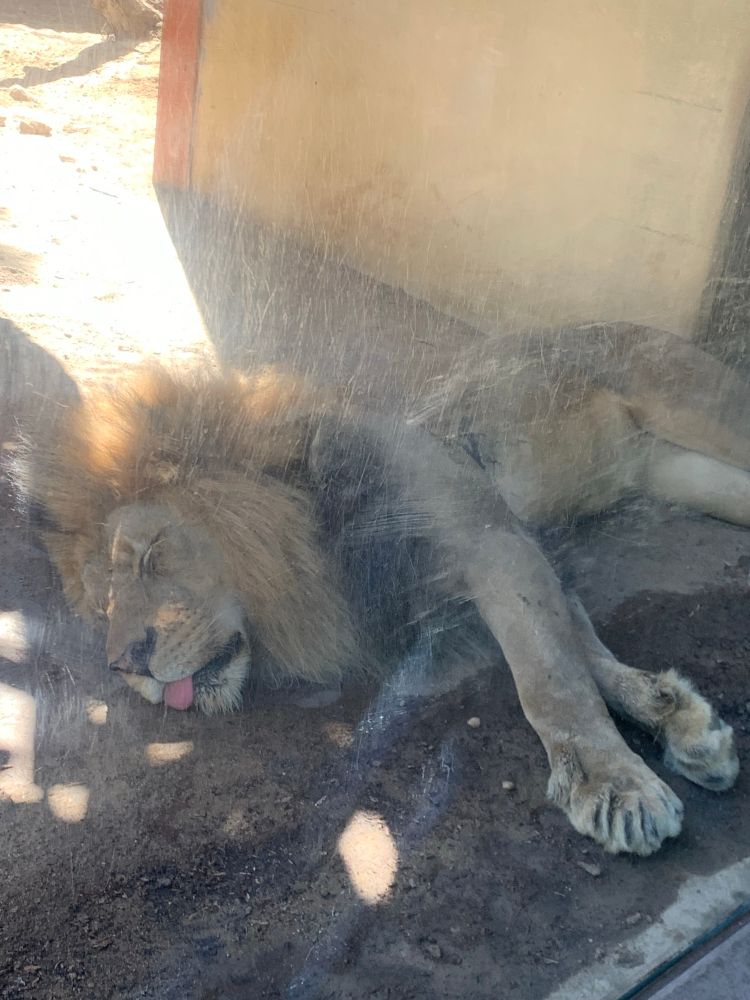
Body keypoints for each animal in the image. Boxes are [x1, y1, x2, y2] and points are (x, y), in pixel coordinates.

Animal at [15, 322, 747, 857]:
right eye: (101, 606)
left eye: (148, 555)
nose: (124, 665)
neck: (320, 532)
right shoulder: (477, 577)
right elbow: (574, 646)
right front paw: (675, 715)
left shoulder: (488, 541)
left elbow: (550, 679)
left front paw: (614, 785)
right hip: (689, 475)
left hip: (703, 411)